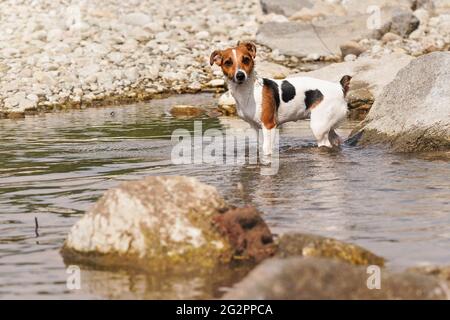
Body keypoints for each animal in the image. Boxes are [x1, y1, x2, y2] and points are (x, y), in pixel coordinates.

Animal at [211, 42, 352, 157]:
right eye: (228, 62)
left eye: (246, 59)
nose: (240, 75)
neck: (248, 91)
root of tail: (339, 87)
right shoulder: (256, 127)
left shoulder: (269, 126)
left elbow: (266, 150)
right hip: (327, 124)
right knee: (336, 139)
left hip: (318, 128)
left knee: (325, 144)